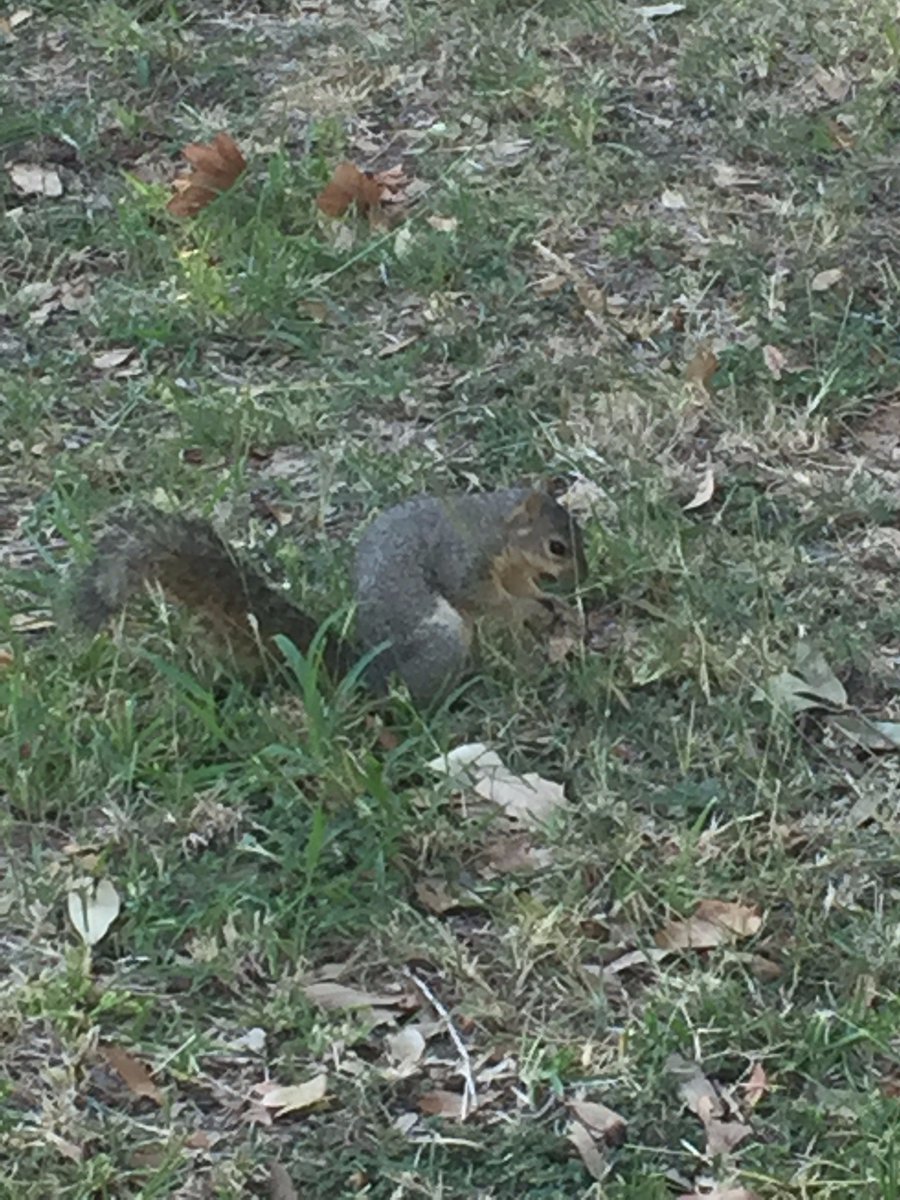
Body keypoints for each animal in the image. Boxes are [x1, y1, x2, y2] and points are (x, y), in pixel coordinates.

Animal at [74, 487, 587, 707]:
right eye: (557, 546)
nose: (583, 574)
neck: (497, 528)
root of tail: (370, 675)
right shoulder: (461, 558)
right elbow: (480, 596)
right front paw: (526, 608)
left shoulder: (513, 570)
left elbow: (520, 589)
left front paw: (549, 603)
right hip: (440, 638)